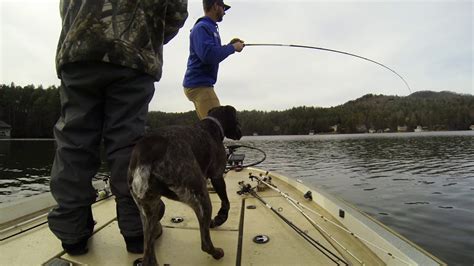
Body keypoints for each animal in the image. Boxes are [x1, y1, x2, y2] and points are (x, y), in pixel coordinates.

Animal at [129, 105, 243, 264]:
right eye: (237, 118)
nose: (241, 132)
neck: (212, 125)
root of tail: (146, 154)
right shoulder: (217, 175)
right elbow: (226, 202)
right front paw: (219, 219)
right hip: (200, 196)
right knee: (205, 243)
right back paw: (217, 253)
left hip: (151, 209)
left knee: (148, 255)